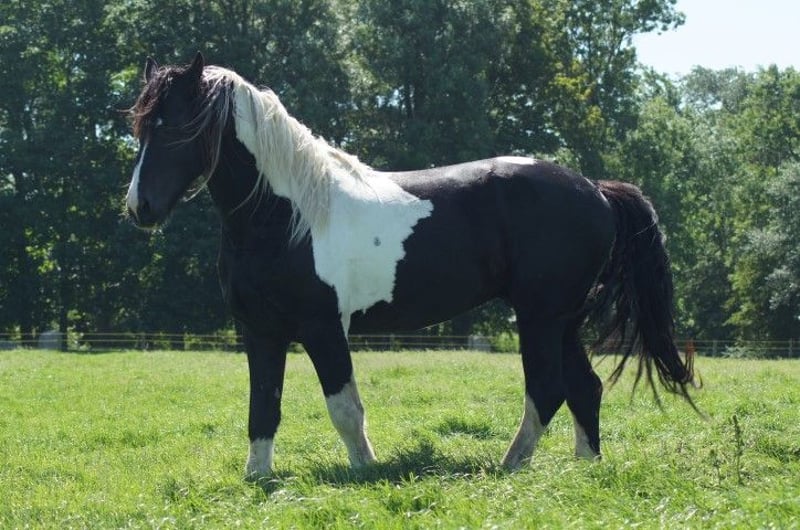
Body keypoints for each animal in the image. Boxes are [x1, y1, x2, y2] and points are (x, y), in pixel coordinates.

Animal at [124, 53, 696, 479]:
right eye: (140, 128)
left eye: (174, 127)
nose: (139, 208)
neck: (289, 216)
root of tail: (594, 189)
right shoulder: (260, 331)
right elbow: (263, 408)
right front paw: (258, 479)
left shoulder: (323, 327)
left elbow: (344, 409)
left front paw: (366, 472)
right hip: (563, 322)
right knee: (584, 389)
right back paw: (584, 468)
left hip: (541, 318)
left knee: (548, 390)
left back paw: (510, 466)